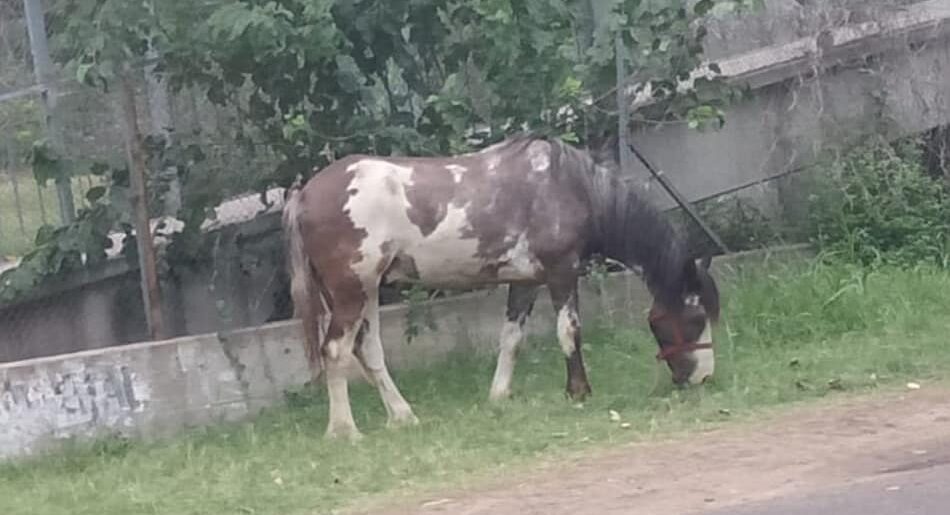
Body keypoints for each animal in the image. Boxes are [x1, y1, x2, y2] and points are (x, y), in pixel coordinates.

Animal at [282, 133, 721, 440]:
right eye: (696, 316)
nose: (703, 378)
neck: (567, 185)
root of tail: (305, 195)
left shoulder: (525, 281)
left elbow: (511, 339)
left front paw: (499, 396)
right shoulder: (562, 272)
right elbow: (569, 331)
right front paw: (578, 392)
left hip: (367, 291)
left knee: (367, 351)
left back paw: (403, 417)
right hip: (351, 291)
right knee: (336, 351)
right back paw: (344, 431)